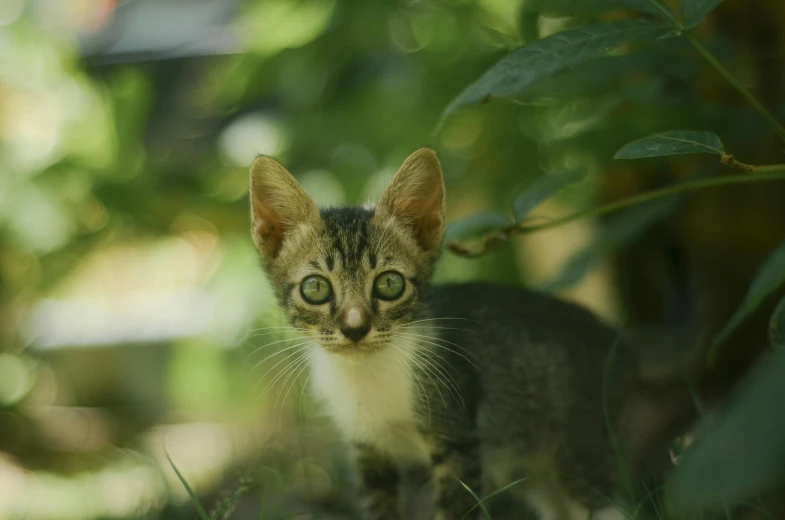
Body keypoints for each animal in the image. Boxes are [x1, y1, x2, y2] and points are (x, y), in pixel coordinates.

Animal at [250, 148, 672, 520]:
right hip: (535, 468)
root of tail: (613, 336)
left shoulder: (460, 438)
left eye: (389, 284)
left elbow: (457, 508)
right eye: (316, 288)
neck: (367, 376)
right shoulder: (368, 450)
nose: (355, 328)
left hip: (581, 443)